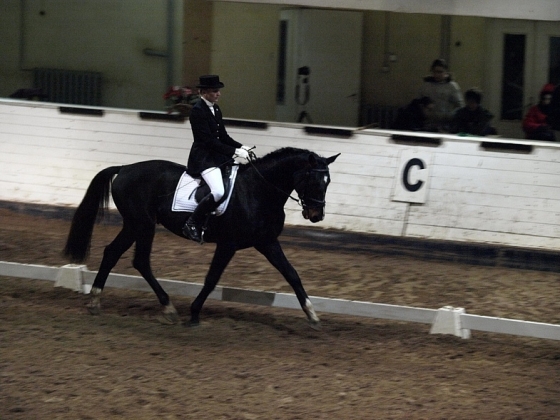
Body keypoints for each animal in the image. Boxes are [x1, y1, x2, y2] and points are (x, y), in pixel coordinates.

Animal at [63, 149, 340, 326]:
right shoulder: (228, 244)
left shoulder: (267, 242)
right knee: (140, 260)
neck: (258, 191)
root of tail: (124, 169)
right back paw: (168, 308)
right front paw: (195, 313)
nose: (316, 215)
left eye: (328, 182)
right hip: (143, 225)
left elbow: (292, 274)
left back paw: (95, 301)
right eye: (313, 180)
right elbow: (211, 278)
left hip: (134, 225)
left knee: (112, 253)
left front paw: (312, 315)